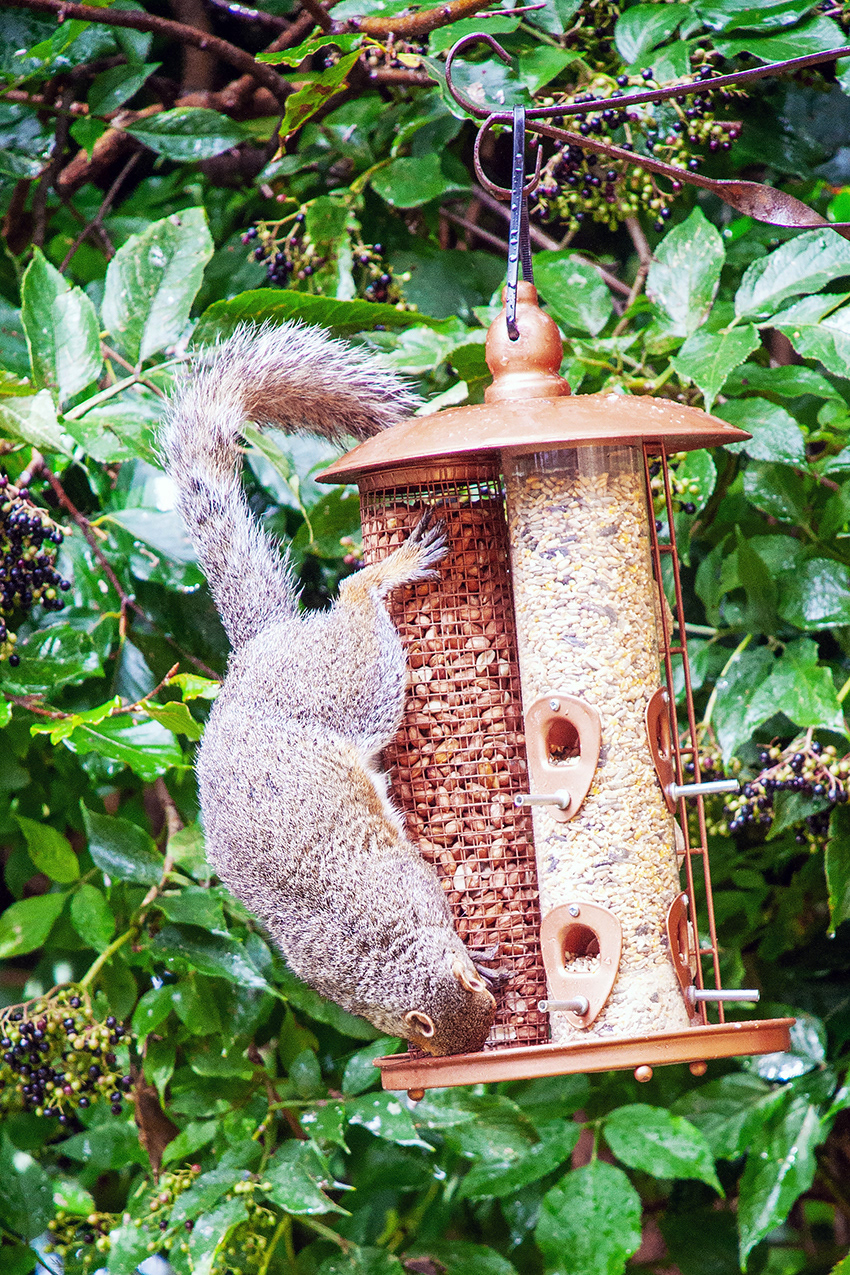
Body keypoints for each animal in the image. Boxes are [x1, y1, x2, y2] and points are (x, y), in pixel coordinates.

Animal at [162, 321, 497, 1057]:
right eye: (449, 1039)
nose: (493, 998)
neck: (387, 955)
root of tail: (258, 651)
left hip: (350, 686)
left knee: (350, 593)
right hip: (347, 686)